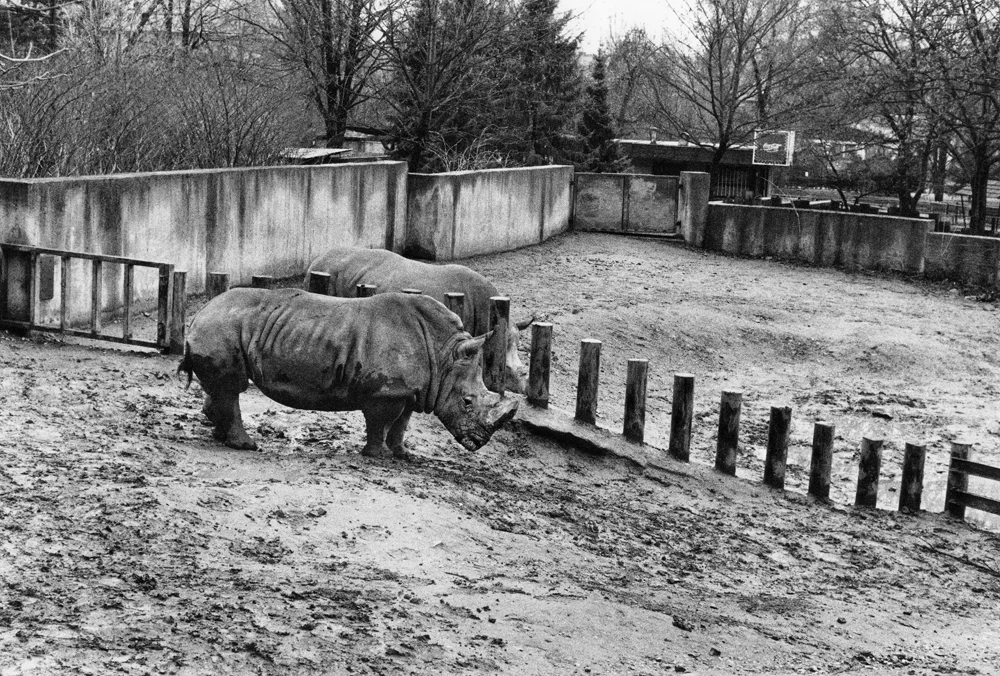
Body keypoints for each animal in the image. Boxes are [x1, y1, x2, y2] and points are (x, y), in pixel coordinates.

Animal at [178, 288, 518, 458]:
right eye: (467, 402)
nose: (478, 443)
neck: (443, 353)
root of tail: (198, 315)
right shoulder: (386, 391)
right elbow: (381, 422)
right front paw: (376, 455)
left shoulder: (411, 390)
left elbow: (402, 424)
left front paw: (403, 455)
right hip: (221, 327)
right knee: (232, 386)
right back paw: (245, 446)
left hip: (221, 327)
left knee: (222, 386)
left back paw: (220, 435)